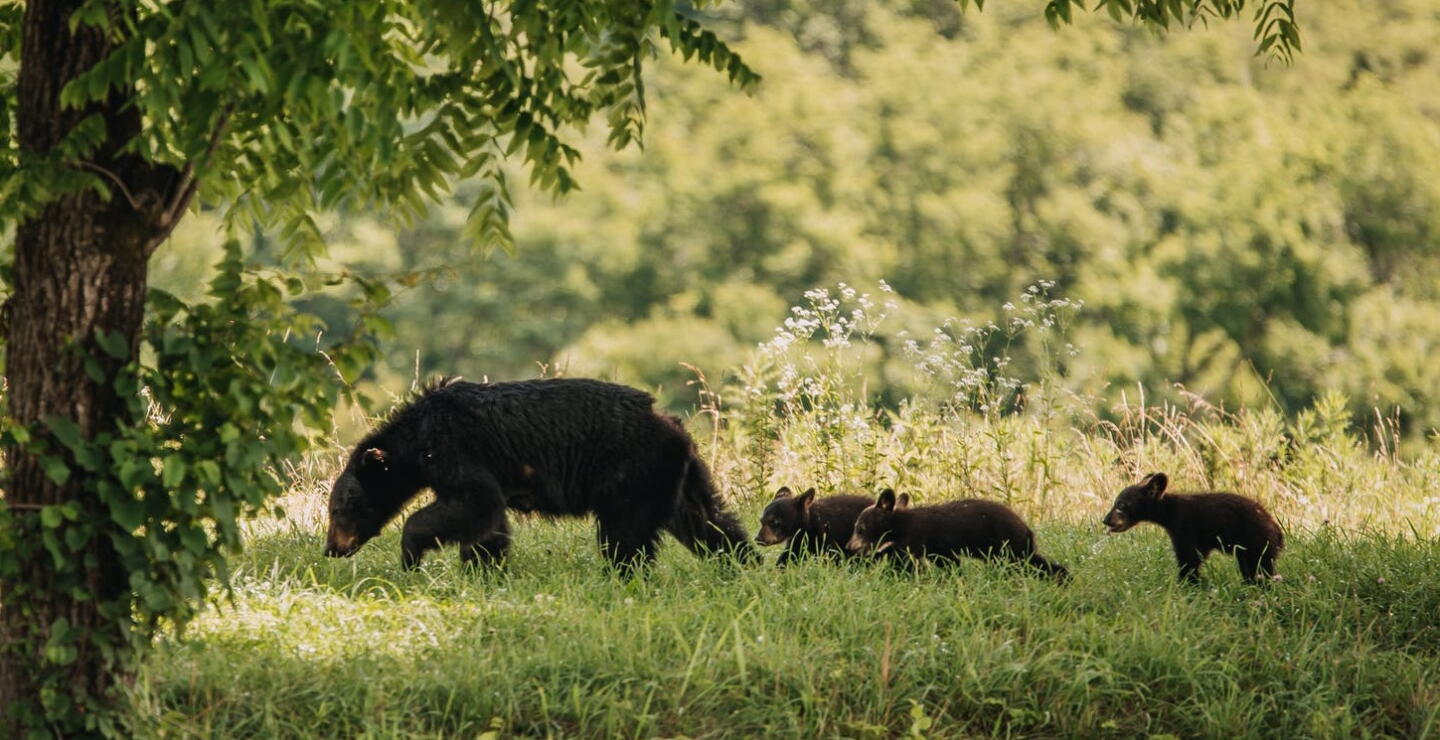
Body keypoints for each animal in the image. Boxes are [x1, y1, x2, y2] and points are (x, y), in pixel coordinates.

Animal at [324, 377, 756, 572]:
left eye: (339, 509)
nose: (331, 548)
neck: (417, 439)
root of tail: (674, 426)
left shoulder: (455, 449)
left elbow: (473, 502)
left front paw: (411, 553)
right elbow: (488, 521)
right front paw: (484, 567)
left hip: (630, 472)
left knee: (625, 535)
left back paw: (623, 576)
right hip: (678, 476)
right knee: (707, 520)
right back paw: (742, 562)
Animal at [846, 489, 1069, 581]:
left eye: (859, 528)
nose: (849, 546)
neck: (900, 524)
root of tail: (1026, 528)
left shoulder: (916, 538)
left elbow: (906, 559)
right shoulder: (938, 548)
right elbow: (948, 561)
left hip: (1007, 545)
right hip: (1016, 548)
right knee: (1037, 562)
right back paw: (1063, 577)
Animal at [1102, 472, 1283, 584]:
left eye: (1121, 504)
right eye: (1116, 502)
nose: (1106, 520)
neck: (1168, 513)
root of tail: (1277, 531)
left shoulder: (1185, 527)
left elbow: (1188, 559)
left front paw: (1186, 584)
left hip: (1257, 542)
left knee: (1260, 567)